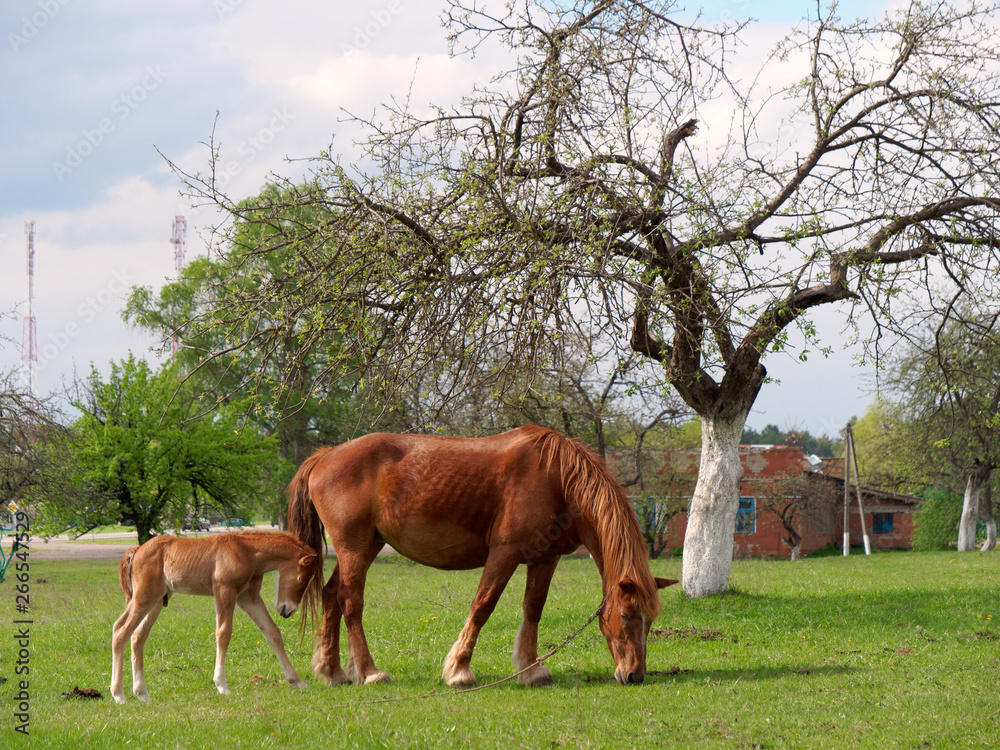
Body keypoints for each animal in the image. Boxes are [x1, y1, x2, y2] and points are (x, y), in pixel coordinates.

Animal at [110, 531, 323, 704]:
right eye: (302, 579)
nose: (288, 610)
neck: (247, 551)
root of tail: (137, 550)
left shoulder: (248, 597)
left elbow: (272, 632)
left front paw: (297, 681)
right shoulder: (224, 590)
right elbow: (223, 633)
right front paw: (222, 685)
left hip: (157, 600)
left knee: (137, 637)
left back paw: (142, 694)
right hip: (144, 597)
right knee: (120, 630)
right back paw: (119, 695)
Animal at [287, 425, 678, 688]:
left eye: (650, 621)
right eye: (626, 616)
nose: (635, 675)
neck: (556, 480)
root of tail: (326, 456)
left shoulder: (545, 559)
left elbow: (533, 609)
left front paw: (531, 669)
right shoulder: (504, 554)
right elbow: (482, 606)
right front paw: (459, 670)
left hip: (366, 546)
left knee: (331, 596)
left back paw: (333, 671)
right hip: (353, 547)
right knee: (351, 602)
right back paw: (369, 673)